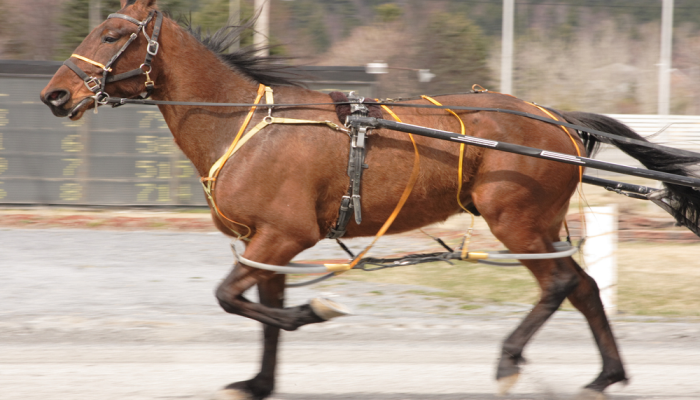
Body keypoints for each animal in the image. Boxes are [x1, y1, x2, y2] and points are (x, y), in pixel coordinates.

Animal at [41, 0, 700, 400]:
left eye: (114, 34)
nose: (55, 94)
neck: (247, 124)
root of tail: (556, 118)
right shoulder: (265, 242)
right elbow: (257, 311)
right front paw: (258, 381)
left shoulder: (284, 234)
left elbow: (231, 298)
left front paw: (316, 309)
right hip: (541, 223)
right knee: (583, 287)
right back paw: (605, 375)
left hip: (516, 219)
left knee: (560, 285)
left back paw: (511, 360)